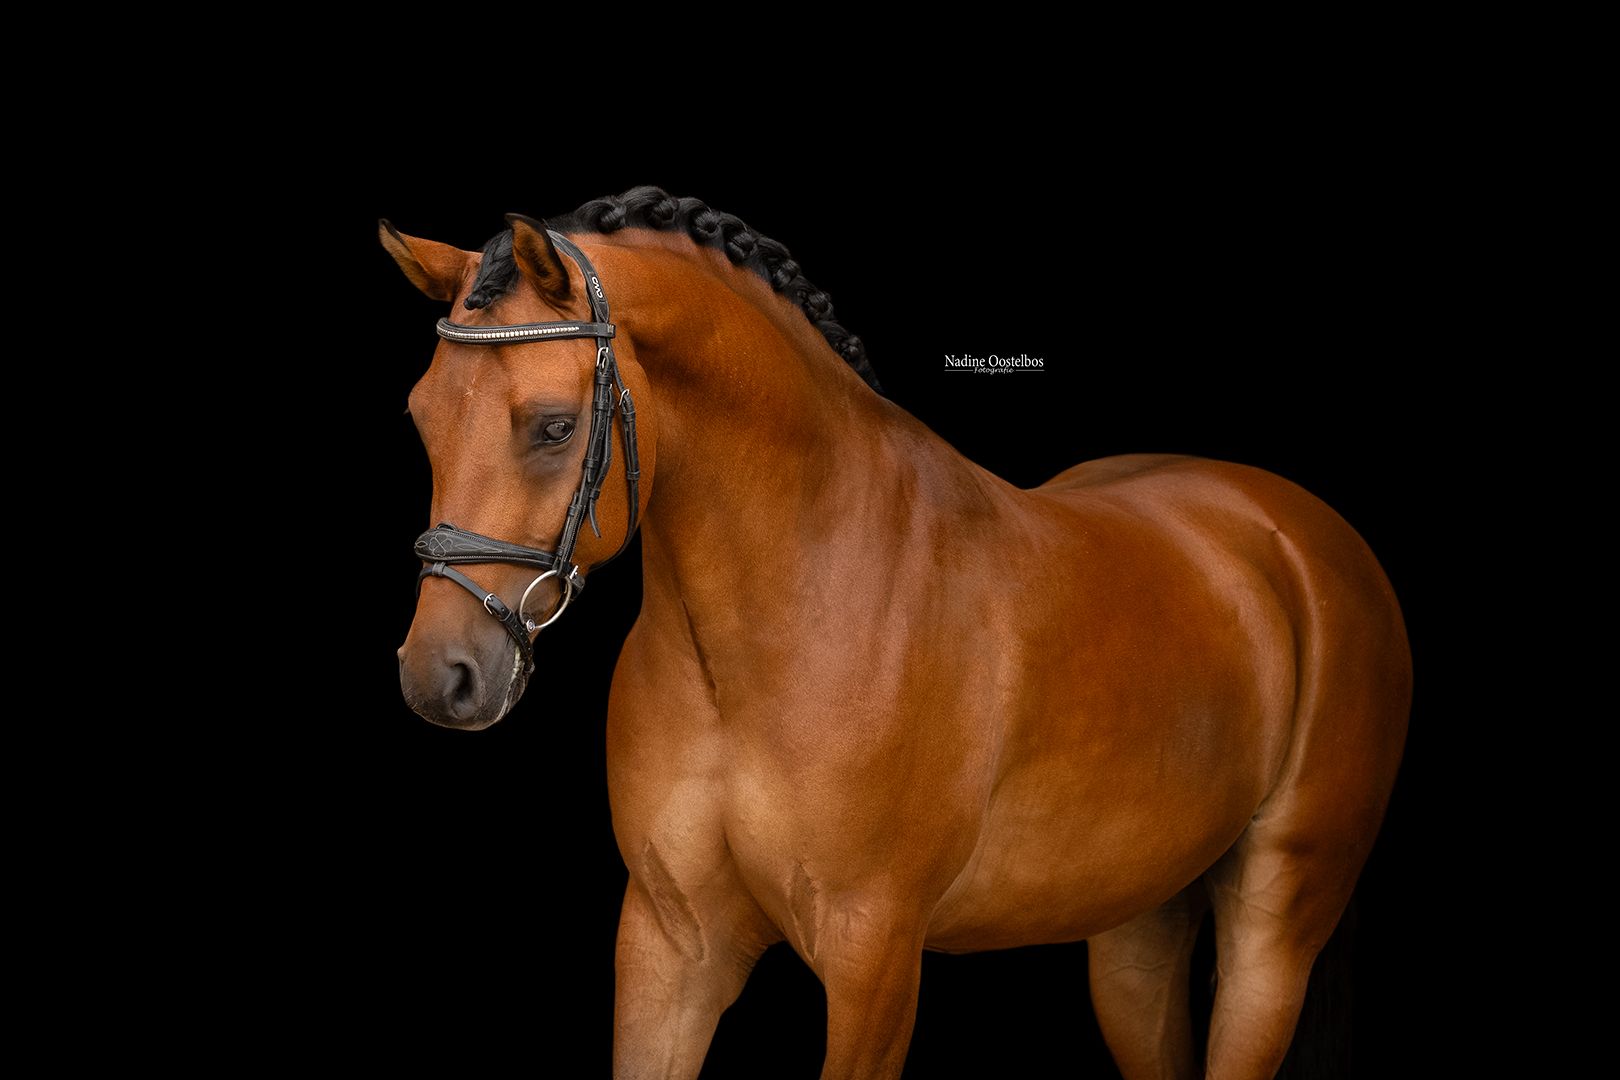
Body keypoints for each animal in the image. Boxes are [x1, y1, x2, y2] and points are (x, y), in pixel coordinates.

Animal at [384, 186, 1410, 1079]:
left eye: (553, 427)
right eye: (421, 418)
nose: (442, 676)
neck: (795, 613)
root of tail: (1298, 533)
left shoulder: (873, 957)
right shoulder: (671, 946)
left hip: (1274, 935)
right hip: (1137, 932)